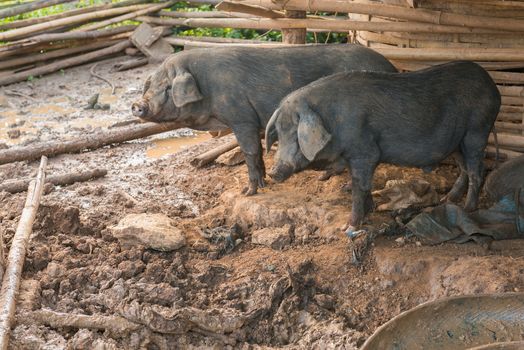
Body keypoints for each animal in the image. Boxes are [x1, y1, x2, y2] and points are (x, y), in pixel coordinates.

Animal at [132, 44, 398, 194]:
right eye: (150, 84)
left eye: (167, 87)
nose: (137, 105)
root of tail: (391, 67)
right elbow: (256, 153)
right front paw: (260, 186)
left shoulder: (242, 118)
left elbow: (250, 151)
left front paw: (248, 192)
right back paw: (325, 177)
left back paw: (344, 186)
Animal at [266, 60, 500, 230]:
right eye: (279, 133)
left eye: (296, 135)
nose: (273, 172)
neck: (333, 120)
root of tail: (493, 87)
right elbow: (364, 185)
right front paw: (370, 210)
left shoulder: (365, 152)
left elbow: (358, 187)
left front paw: (349, 228)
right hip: (457, 142)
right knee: (464, 169)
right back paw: (447, 200)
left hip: (477, 130)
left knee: (477, 170)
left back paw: (468, 210)